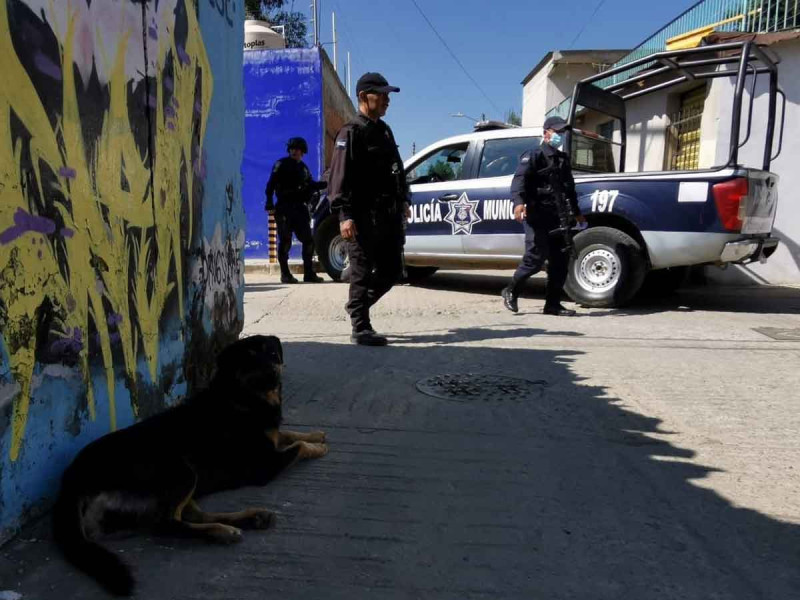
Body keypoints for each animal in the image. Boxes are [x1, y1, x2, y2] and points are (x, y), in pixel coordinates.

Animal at [52, 332, 324, 596]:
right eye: (249, 359)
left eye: (272, 354)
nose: (273, 373)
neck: (239, 396)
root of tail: (71, 478)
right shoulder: (264, 466)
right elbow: (297, 446)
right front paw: (317, 447)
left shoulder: (272, 438)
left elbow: (288, 434)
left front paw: (316, 435)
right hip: (181, 470)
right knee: (167, 524)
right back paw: (223, 531)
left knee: (191, 515)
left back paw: (251, 518)